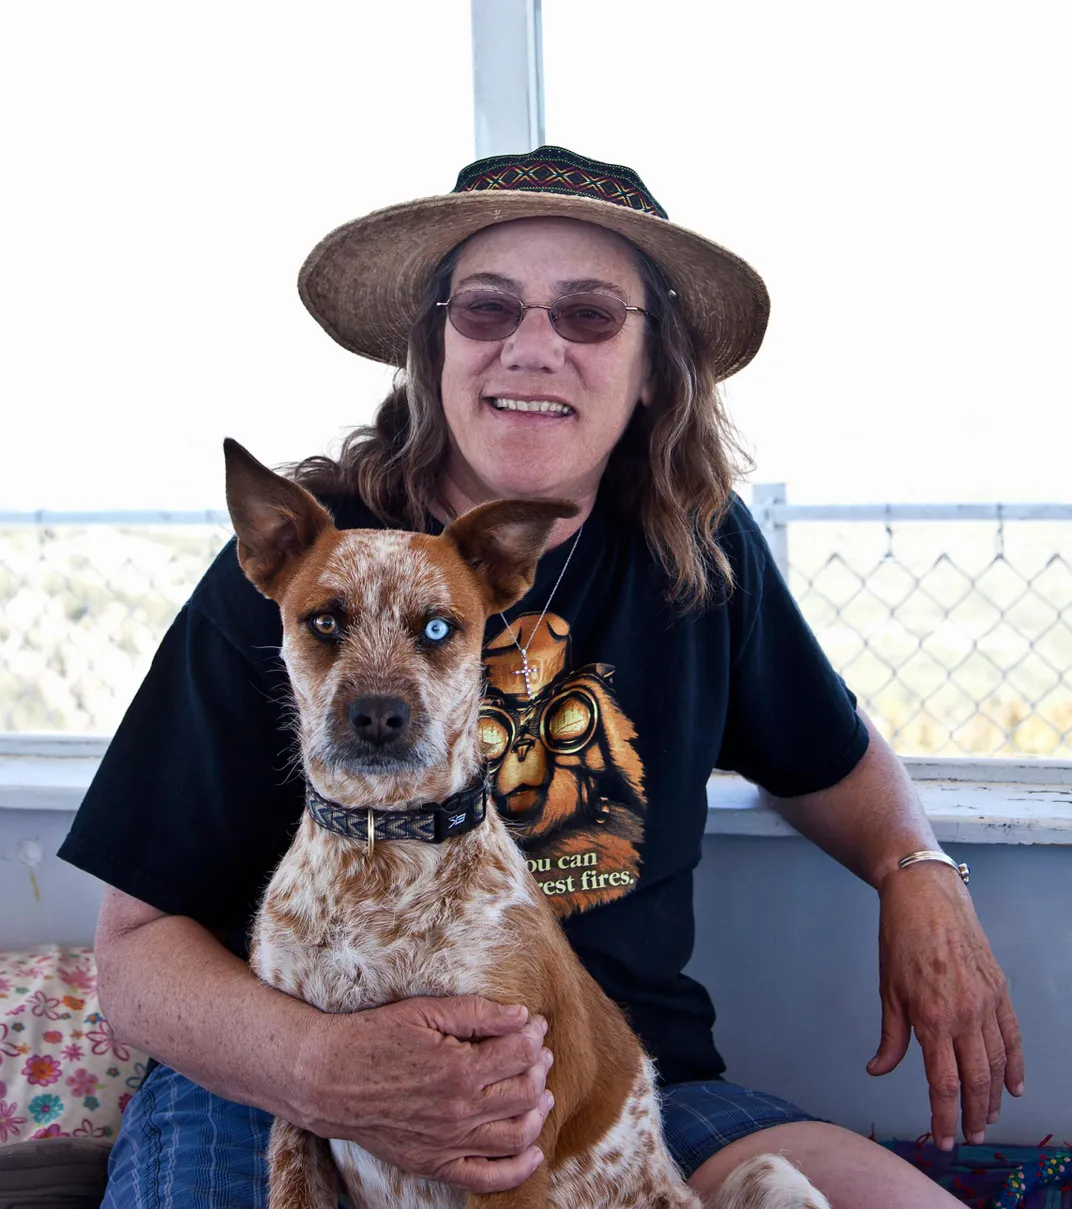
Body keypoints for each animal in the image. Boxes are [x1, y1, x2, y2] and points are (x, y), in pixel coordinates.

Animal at [224, 442, 831, 1209]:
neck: (381, 851)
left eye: (436, 627)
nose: (379, 715)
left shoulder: (507, 1136)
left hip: (776, 1175)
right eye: (326, 621)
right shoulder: (301, 1104)